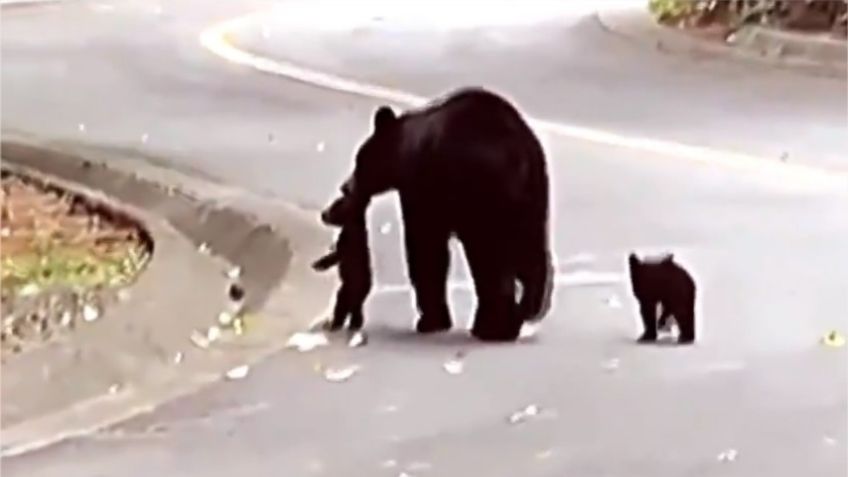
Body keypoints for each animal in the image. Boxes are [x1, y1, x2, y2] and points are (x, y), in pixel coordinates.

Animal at [342, 88, 552, 342]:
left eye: (358, 160)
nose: (346, 186)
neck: (405, 151)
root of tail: (520, 152)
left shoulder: (421, 188)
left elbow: (425, 247)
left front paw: (430, 321)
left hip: (484, 196)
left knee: (490, 260)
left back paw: (491, 327)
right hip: (533, 197)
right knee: (531, 253)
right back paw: (526, 312)